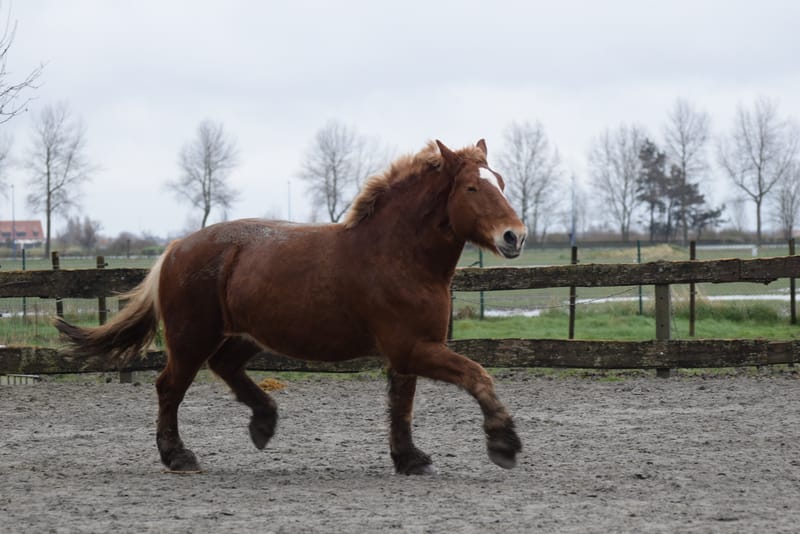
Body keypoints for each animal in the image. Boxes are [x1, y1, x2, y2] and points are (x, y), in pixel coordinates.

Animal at [55, 139, 528, 475]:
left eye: (501, 182)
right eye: (472, 187)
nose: (515, 236)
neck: (397, 254)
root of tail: (175, 248)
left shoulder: (409, 350)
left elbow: (402, 404)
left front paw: (409, 459)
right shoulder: (413, 347)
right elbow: (477, 376)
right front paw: (503, 443)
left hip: (247, 335)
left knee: (225, 367)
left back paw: (263, 423)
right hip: (192, 338)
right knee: (169, 388)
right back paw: (178, 456)